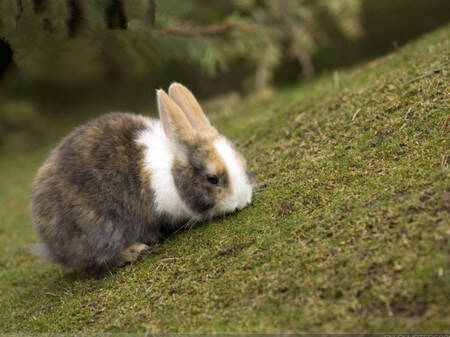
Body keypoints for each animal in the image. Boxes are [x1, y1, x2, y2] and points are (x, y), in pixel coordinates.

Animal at [31, 82, 255, 272]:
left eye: (242, 161)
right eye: (212, 178)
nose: (242, 202)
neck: (172, 172)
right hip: (98, 230)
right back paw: (135, 251)